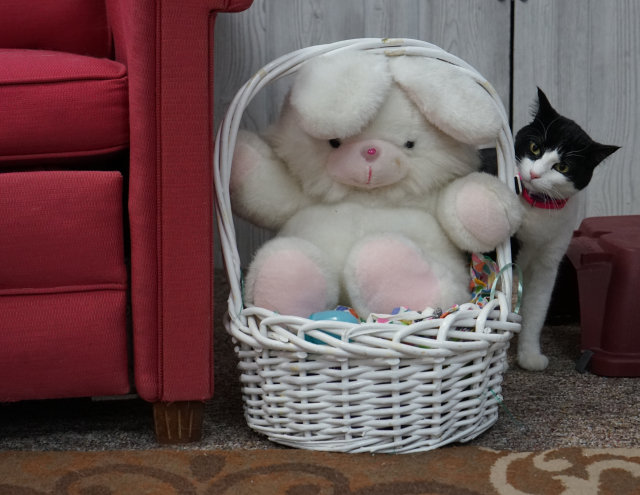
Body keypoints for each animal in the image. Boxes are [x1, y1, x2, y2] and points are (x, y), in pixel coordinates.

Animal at [510, 87, 620, 370]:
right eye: (535, 147)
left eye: (562, 167)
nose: (534, 175)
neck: (536, 205)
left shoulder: (548, 261)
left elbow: (537, 309)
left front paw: (529, 356)